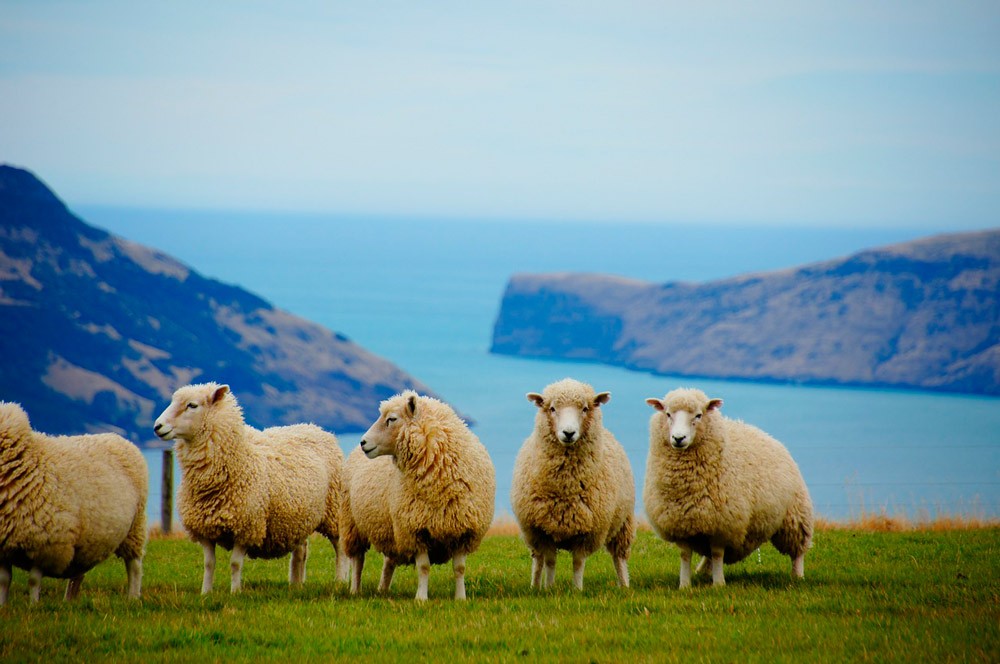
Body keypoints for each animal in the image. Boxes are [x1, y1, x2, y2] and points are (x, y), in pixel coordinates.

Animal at [0, 402, 148, 604]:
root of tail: (117, 437)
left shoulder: (46, 544)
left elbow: (33, 580)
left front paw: (33, 605)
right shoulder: (3, 548)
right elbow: (4, 580)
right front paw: (3, 605)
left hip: (134, 528)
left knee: (134, 565)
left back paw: (132, 597)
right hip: (87, 540)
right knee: (78, 573)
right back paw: (69, 601)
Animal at [153, 382, 348, 592]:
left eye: (192, 405)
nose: (157, 427)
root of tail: (315, 428)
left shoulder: (246, 527)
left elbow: (235, 563)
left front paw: (235, 592)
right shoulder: (204, 529)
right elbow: (209, 564)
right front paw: (205, 592)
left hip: (334, 510)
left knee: (340, 548)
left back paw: (341, 580)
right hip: (299, 516)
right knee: (301, 550)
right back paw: (296, 583)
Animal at [352, 390, 496, 600]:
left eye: (391, 419)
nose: (363, 442)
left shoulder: (463, 530)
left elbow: (460, 568)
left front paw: (460, 598)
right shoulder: (415, 529)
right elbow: (424, 567)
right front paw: (421, 598)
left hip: (390, 530)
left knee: (388, 562)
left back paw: (383, 590)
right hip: (352, 524)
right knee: (358, 560)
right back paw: (355, 590)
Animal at [512, 378, 636, 592]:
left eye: (585, 408)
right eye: (552, 408)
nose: (568, 433)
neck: (566, 487)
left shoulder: (587, 532)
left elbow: (578, 563)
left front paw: (577, 590)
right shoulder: (543, 530)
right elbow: (550, 561)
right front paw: (549, 588)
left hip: (624, 522)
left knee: (619, 557)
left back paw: (624, 586)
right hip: (531, 535)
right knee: (538, 560)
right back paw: (535, 586)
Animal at [640, 386, 812, 588]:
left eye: (699, 415)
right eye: (667, 414)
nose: (678, 438)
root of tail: (766, 435)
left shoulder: (723, 523)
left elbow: (717, 553)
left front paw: (719, 584)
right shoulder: (680, 523)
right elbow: (685, 555)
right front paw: (685, 585)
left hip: (794, 515)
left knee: (798, 550)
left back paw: (798, 576)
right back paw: (703, 572)